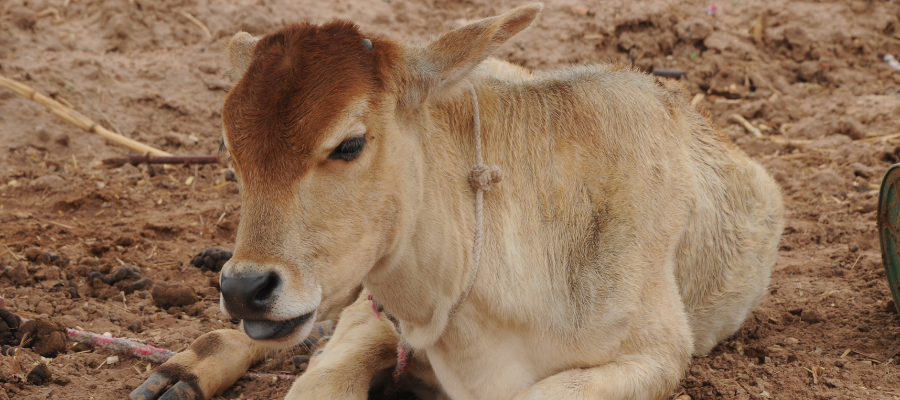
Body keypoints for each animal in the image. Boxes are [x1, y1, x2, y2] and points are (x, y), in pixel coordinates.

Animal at [131, 4, 784, 400]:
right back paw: (178, 371)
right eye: (231, 151)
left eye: (349, 143)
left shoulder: (655, 355)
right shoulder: (373, 321)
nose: (245, 287)